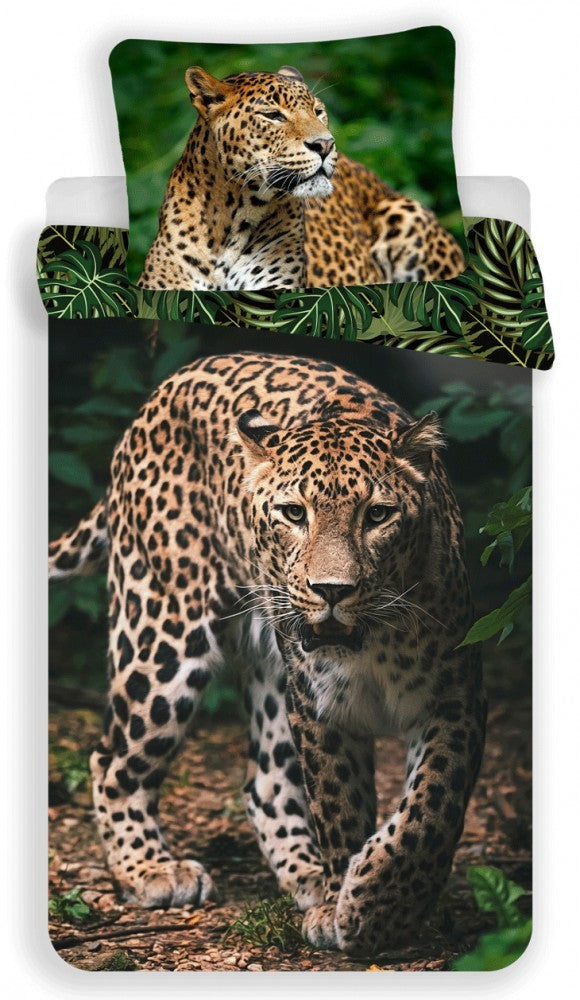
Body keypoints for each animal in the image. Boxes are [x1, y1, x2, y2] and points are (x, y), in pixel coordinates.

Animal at [49, 351, 486, 955]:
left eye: (377, 515)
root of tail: (161, 391)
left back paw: (307, 876)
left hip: (269, 672)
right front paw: (352, 905)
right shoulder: (320, 708)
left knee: (265, 783)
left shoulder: (454, 697)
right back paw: (151, 870)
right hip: (162, 633)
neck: (370, 643)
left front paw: (378, 903)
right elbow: (340, 806)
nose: (332, 591)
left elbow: (431, 809)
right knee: (112, 758)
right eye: (293, 513)